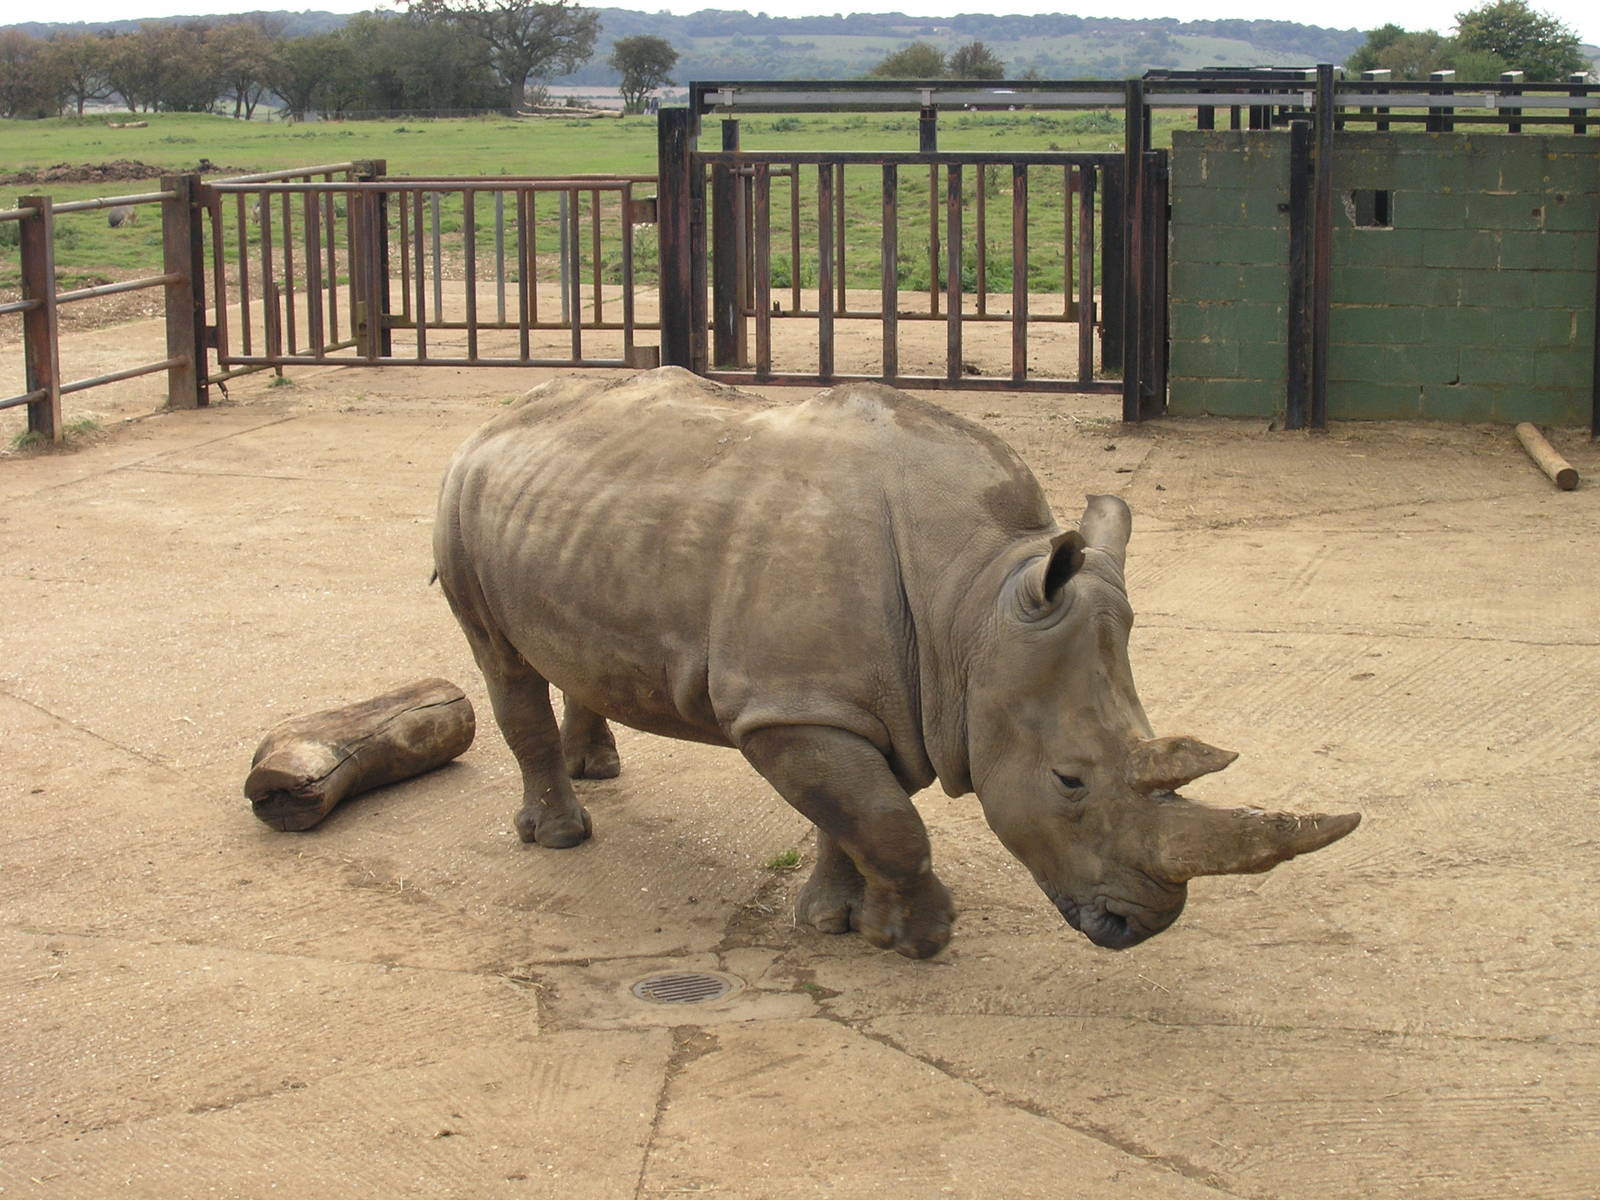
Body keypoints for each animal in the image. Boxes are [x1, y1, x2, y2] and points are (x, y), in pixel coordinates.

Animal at [433, 368, 1358, 958]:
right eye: (1068, 781)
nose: (1150, 925)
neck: (973, 605)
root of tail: (499, 418)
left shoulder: (858, 701)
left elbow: (854, 815)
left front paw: (837, 926)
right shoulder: (793, 706)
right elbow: (888, 823)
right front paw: (922, 940)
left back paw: (599, 770)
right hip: (459, 498)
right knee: (500, 659)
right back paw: (561, 837)